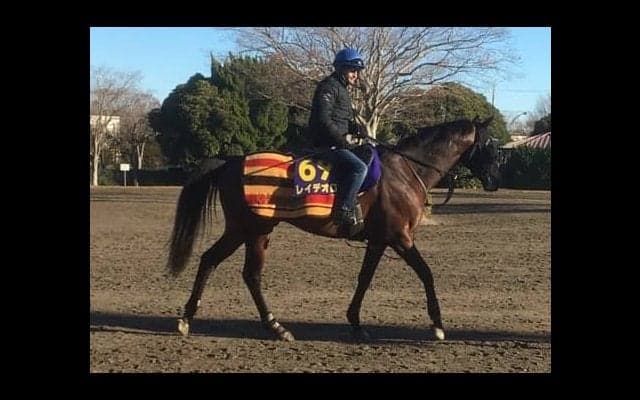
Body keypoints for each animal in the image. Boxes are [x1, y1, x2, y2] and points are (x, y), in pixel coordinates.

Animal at [166, 116, 500, 342]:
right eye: (490, 144)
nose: (495, 181)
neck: (406, 171)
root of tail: (230, 162)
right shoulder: (400, 238)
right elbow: (426, 274)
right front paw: (438, 325)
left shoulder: (378, 241)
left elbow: (364, 279)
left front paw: (355, 322)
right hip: (252, 229)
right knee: (246, 273)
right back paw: (274, 327)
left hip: (247, 231)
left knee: (216, 262)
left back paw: (191, 318)